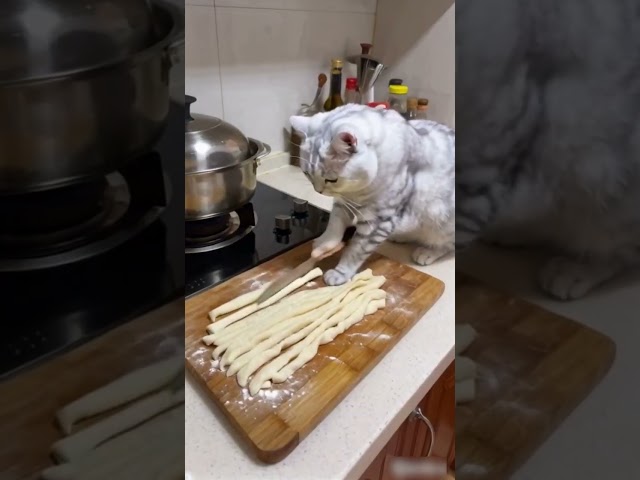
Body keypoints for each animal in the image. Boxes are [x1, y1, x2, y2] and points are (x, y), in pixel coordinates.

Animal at [290, 104, 456, 284]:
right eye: (306, 174)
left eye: (331, 180)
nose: (318, 191)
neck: (356, 191)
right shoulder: (342, 203)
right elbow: (334, 227)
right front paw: (323, 244)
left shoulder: (376, 222)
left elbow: (354, 251)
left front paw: (340, 273)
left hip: (444, 222)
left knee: (447, 245)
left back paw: (427, 252)